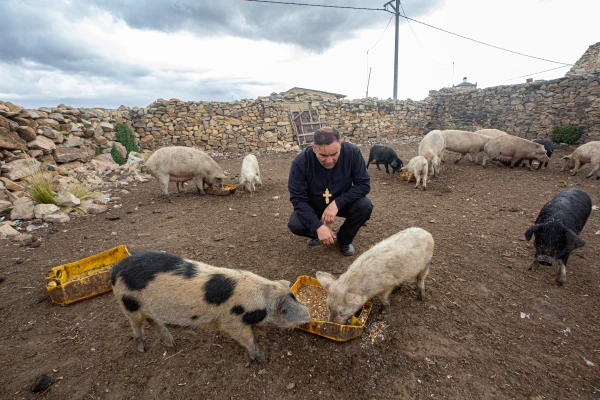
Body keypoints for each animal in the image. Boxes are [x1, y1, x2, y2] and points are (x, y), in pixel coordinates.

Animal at [109, 253, 312, 362]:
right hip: (129, 304)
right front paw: (261, 359)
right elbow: (247, 339)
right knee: (137, 325)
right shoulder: (232, 322)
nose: (308, 315)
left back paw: (172, 343)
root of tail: (115, 270)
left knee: (155, 321)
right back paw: (142, 349)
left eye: (295, 297)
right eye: (284, 310)